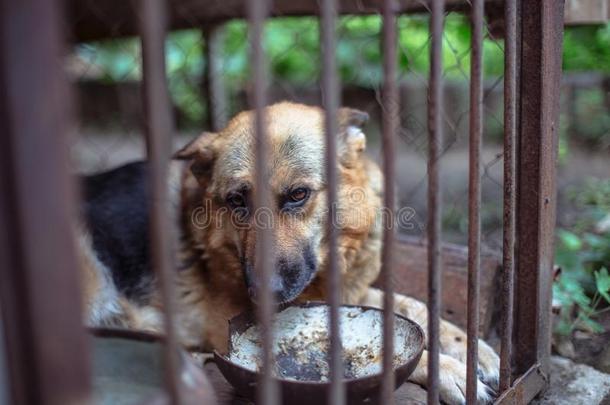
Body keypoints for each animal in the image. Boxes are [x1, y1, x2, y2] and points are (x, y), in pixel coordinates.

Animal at [79, 102, 498, 404]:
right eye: (237, 201)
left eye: (298, 195)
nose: (264, 291)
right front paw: (450, 371)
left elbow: (415, 306)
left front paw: (473, 352)